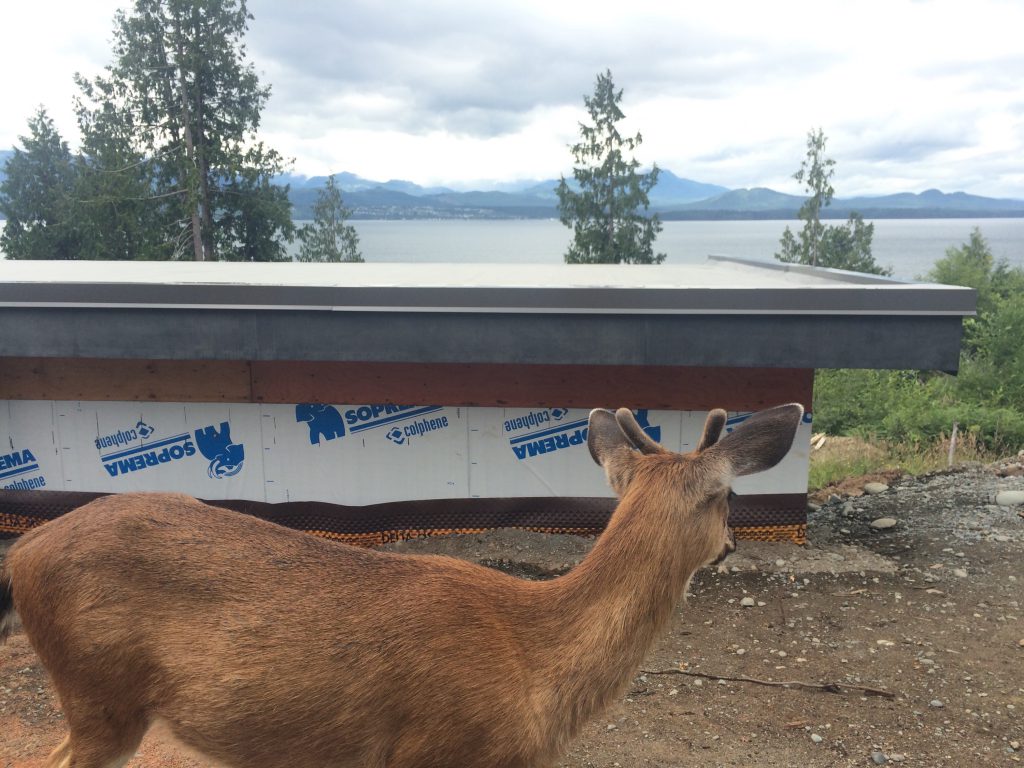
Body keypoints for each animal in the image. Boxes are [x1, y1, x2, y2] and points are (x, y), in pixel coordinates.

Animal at [0, 402, 802, 768]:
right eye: (730, 498)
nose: (733, 544)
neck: (536, 665)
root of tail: (24, 551)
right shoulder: (434, 752)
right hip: (99, 694)